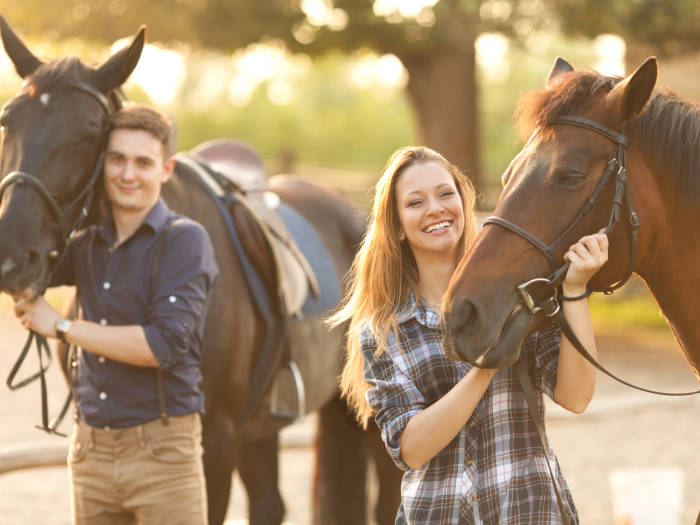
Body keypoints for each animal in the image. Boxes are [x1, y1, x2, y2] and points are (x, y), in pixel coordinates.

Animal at [0, 19, 400, 524]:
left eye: (91, 133)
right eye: (8, 121)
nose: (12, 257)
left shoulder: (213, 439)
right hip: (263, 425)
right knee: (270, 503)